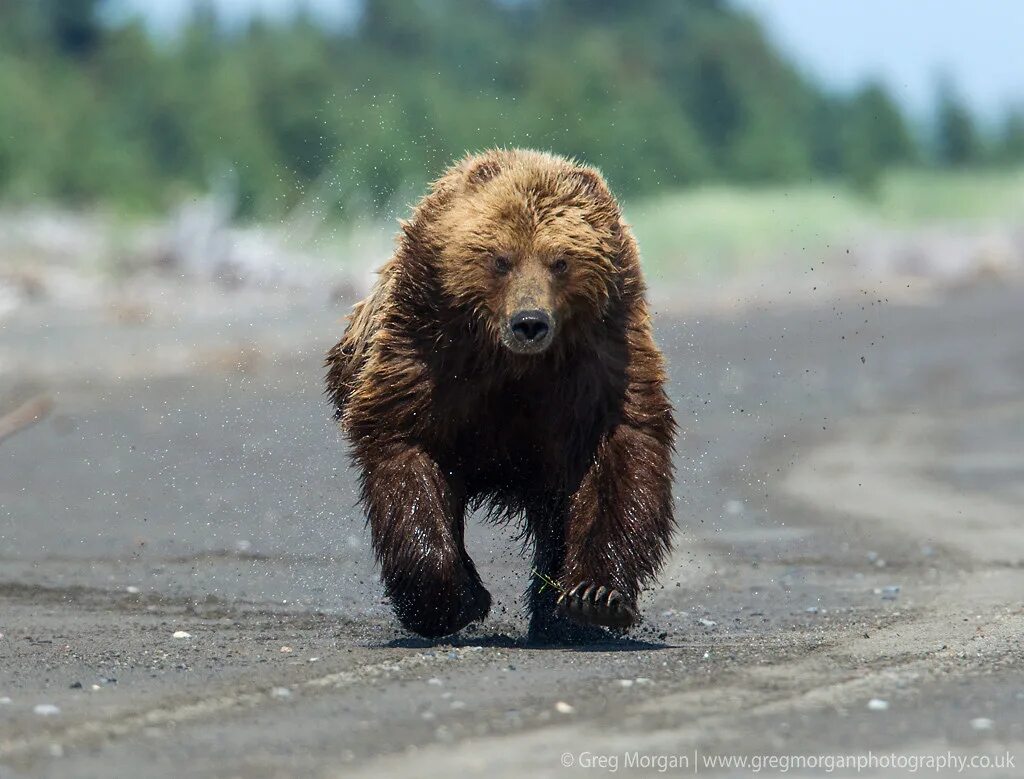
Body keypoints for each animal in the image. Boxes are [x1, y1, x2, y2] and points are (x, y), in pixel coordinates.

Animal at [327, 148, 675, 642]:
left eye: (559, 261)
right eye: (500, 259)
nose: (529, 322)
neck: (513, 364)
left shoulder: (600, 361)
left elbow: (624, 453)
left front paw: (595, 597)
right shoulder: (427, 353)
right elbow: (403, 450)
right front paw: (451, 600)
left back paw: (554, 615)